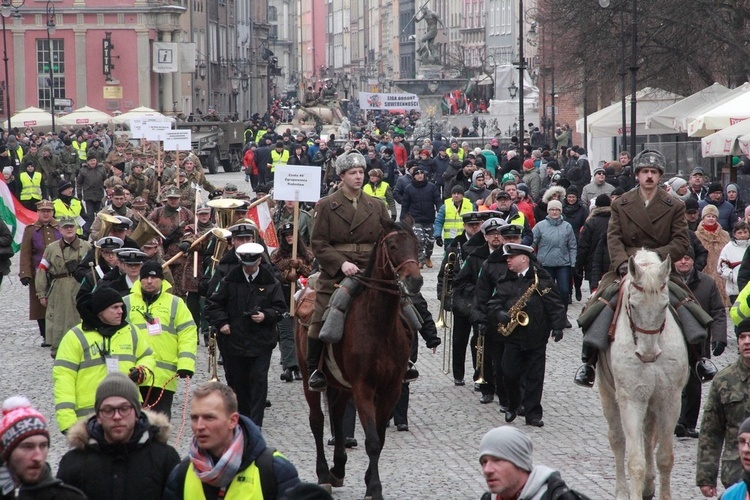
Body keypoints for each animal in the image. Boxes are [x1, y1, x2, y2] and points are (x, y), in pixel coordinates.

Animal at [296, 220, 424, 500]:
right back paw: (324, 474)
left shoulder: (391, 388)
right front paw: (374, 488)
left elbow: (380, 438)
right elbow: (373, 441)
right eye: (393, 245)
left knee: (337, 414)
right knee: (317, 421)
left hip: (342, 386)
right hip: (309, 378)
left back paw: (339, 468)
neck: (380, 325)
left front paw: (369, 481)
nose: (415, 281)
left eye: (416, 244)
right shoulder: (363, 388)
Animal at [600, 250, 692, 500]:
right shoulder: (632, 398)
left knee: (649, 435)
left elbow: (665, 457)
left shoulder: (670, 400)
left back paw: (649, 486)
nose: (648, 354)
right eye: (632, 305)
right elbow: (635, 460)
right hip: (608, 394)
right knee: (617, 439)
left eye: (665, 305)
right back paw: (623, 490)